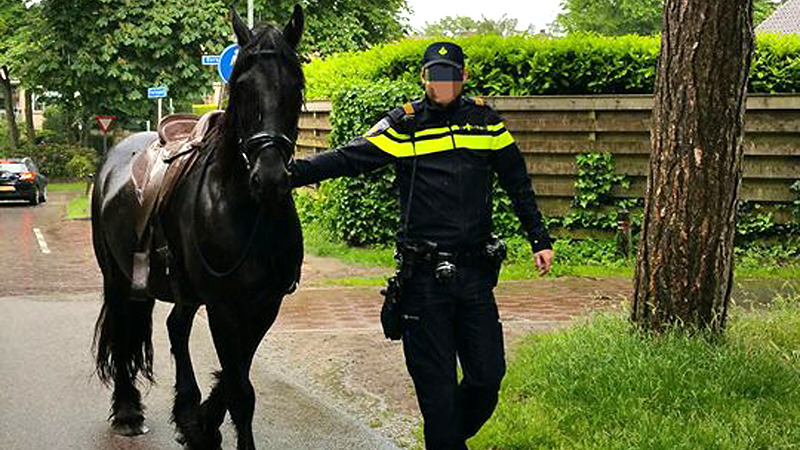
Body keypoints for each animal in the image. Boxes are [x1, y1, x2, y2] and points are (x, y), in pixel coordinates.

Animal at [91, 6, 305, 449]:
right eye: (240, 87)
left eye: (296, 87)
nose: (270, 177)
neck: (250, 215)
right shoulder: (224, 307)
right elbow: (241, 391)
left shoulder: (265, 305)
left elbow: (234, 378)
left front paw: (202, 422)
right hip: (118, 278)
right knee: (123, 333)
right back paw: (127, 412)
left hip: (181, 287)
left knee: (175, 327)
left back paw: (188, 412)